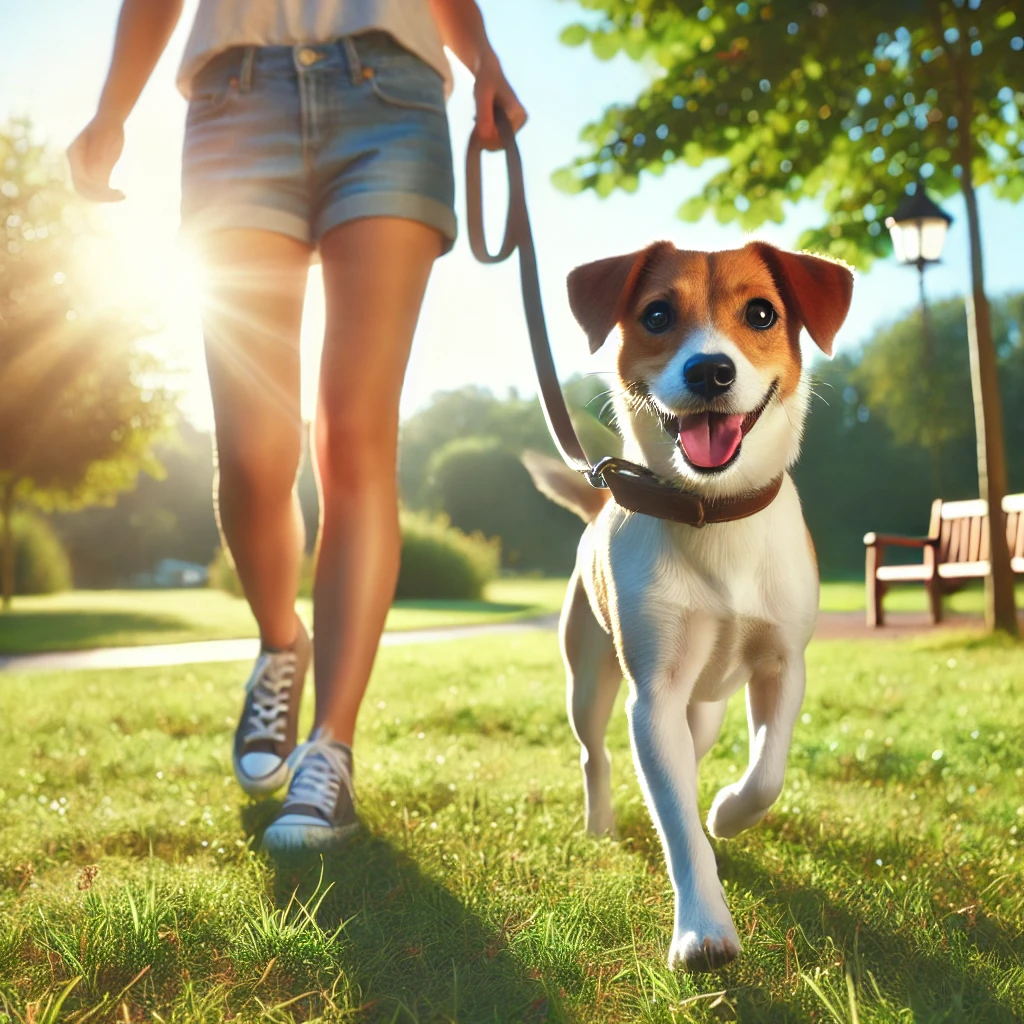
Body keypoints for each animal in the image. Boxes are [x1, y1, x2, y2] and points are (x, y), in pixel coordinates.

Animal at [524, 237, 851, 966]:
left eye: (761, 313)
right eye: (656, 314)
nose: (710, 370)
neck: (714, 512)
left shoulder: (783, 667)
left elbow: (766, 772)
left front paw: (727, 812)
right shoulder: (654, 698)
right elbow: (673, 819)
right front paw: (703, 928)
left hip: (705, 708)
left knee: (696, 752)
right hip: (588, 682)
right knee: (595, 753)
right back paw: (600, 821)